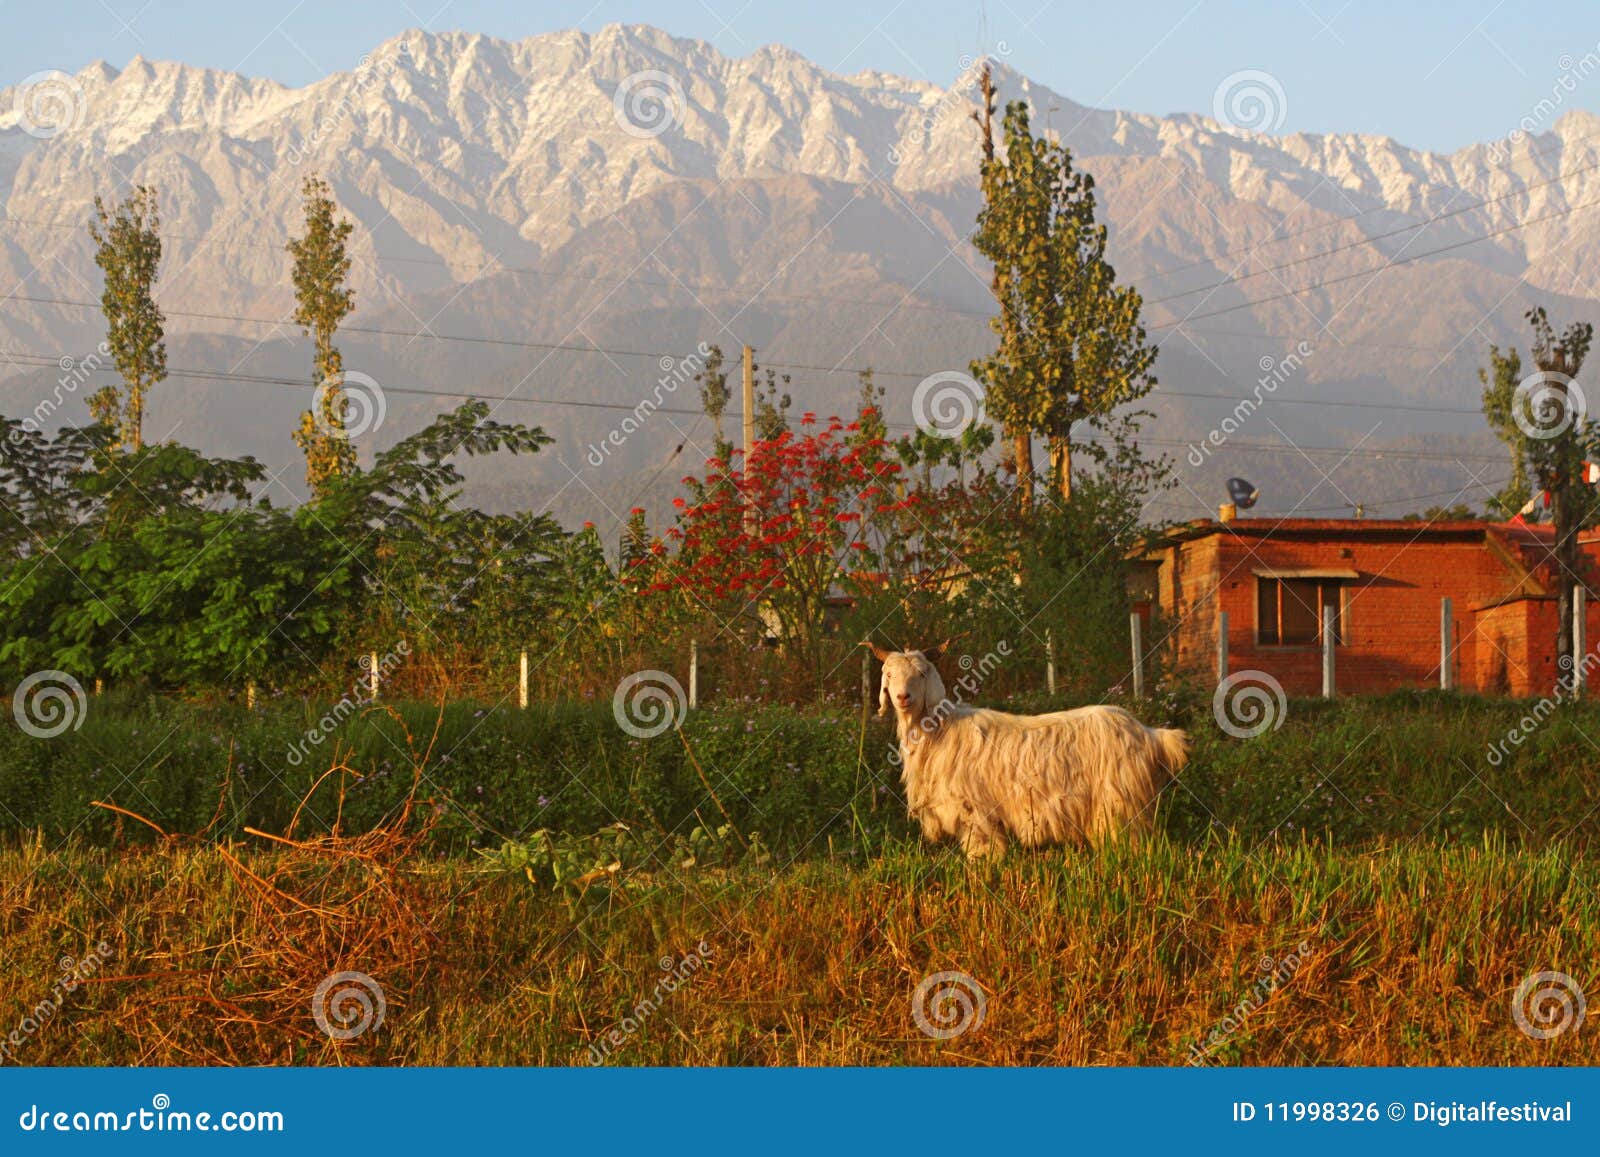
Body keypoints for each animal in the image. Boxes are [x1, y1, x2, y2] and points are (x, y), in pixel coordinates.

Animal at [876, 643, 1190, 857]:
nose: (903, 697)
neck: (941, 731)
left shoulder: (975, 812)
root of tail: (1151, 733)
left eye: (921, 673)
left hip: (1120, 803)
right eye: (888, 675)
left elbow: (983, 853)